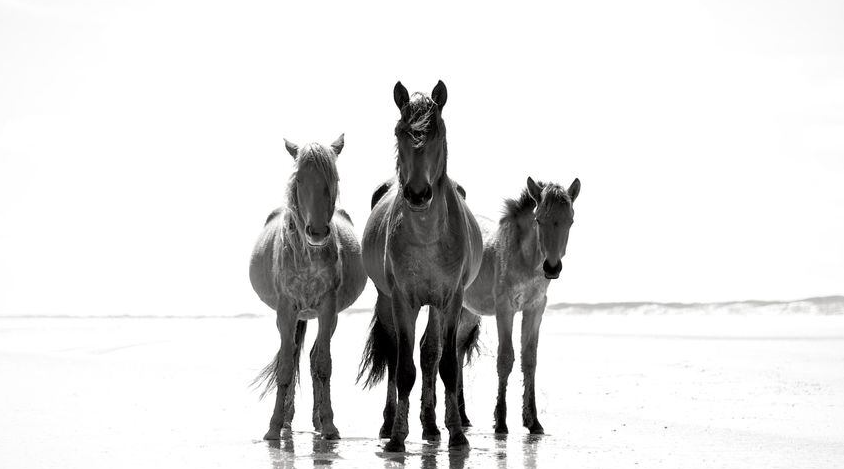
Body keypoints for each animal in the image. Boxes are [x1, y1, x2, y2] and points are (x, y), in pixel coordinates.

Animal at [249, 135, 366, 441]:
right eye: (299, 179)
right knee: (291, 356)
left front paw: (329, 425)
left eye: (333, 178)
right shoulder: (286, 310)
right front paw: (274, 427)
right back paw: (287, 420)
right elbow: (286, 366)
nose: (317, 232)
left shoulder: (328, 308)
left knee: (313, 358)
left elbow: (323, 364)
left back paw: (317, 420)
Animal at [359, 80, 483, 452]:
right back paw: (389, 423)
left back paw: (430, 425)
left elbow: (445, 364)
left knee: (430, 353)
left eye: (438, 131)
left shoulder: (450, 299)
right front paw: (397, 437)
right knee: (393, 352)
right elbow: (403, 369)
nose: (417, 194)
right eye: (400, 132)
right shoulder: (402, 299)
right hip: (385, 299)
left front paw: (456, 434)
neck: (427, 235)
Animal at [461, 176, 580, 434]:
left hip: (468, 313)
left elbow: (529, 359)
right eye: (538, 220)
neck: (525, 260)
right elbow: (506, 358)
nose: (552, 267)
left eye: (570, 221)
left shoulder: (535, 309)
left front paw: (533, 421)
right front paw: (500, 421)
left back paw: (462, 417)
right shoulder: (505, 309)